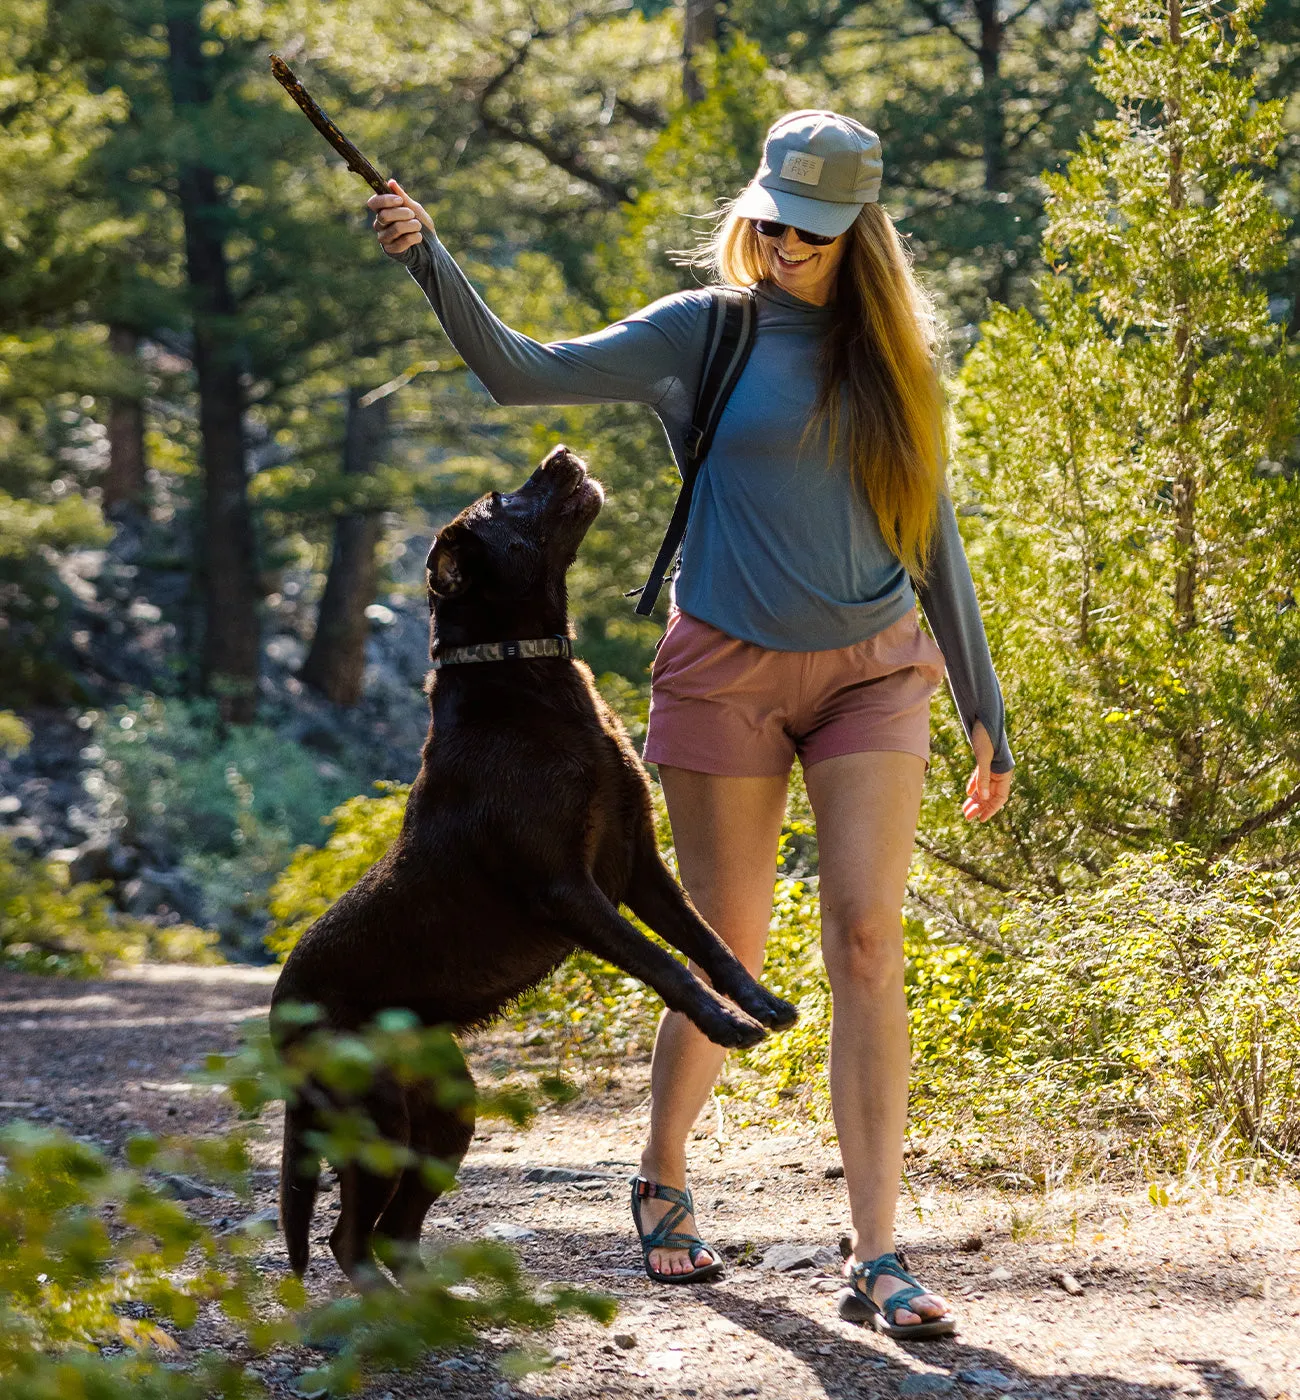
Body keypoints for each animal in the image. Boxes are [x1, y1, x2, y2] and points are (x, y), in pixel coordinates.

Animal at [274, 448, 794, 1282]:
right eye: (503, 502)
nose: (561, 455)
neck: (527, 675)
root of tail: (277, 1018)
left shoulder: (640, 866)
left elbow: (708, 943)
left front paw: (761, 1003)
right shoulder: (568, 890)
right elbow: (666, 964)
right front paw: (726, 1023)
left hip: (447, 1112)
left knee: (394, 1229)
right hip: (376, 1118)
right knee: (347, 1236)